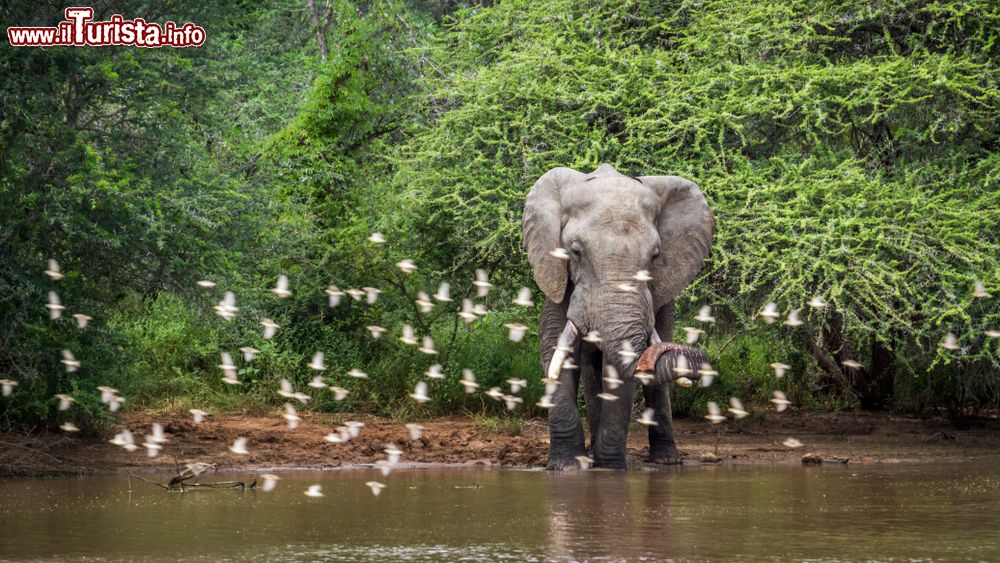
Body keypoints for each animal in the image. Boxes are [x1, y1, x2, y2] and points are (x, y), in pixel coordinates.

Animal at [520, 164, 716, 472]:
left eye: (655, 256)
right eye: (575, 251)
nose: (697, 363)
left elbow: (617, 367)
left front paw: (609, 469)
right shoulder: (556, 275)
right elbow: (554, 351)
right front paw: (568, 467)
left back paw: (667, 459)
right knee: (590, 366)